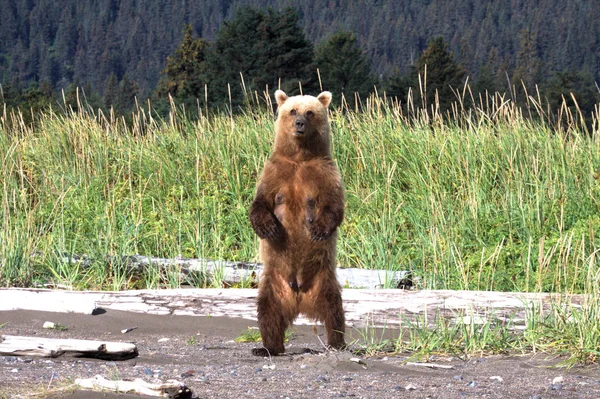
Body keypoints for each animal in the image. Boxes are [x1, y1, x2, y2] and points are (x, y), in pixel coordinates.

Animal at [248, 88, 344, 356]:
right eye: (292, 110)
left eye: (309, 111)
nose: (300, 123)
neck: (300, 158)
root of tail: (300, 296)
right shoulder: (274, 173)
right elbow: (260, 203)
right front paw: (268, 227)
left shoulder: (325, 174)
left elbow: (334, 207)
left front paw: (319, 230)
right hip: (274, 283)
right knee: (268, 311)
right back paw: (268, 347)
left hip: (324, 279)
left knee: (335, 309)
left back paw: (337, 342)